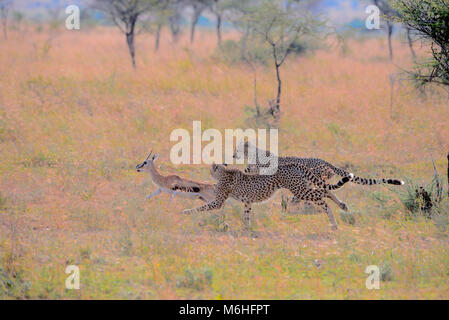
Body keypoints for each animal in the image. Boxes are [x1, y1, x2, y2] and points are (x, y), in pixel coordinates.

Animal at [182, 164, 354, 231]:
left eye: (212, 169)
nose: (209, 170)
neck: (225, 172)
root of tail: (292, 164)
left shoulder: (218, 201)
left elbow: (202, 207)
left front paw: (185, 212)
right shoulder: (248, 202)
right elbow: (246, 215)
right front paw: (247, 229)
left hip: (300, 190)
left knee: (324, 195)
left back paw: (336, 216)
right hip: (303, 188)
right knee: (324, 192)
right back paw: (341, 209)